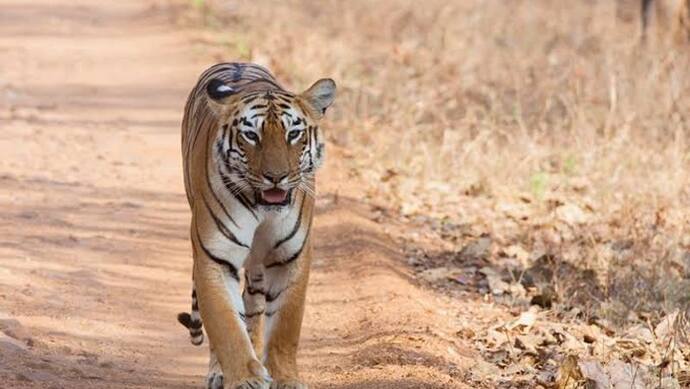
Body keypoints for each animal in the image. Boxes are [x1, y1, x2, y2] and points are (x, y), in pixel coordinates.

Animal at [176, 62, 334, 386]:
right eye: (251, 135)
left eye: (294, 133)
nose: (276, 176)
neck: (265, 209)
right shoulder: (214, 258)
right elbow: (225, 326)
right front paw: (243, 379)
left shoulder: (291, 257)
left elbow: (286, 325)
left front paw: (285, 379)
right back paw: (220, 373)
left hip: (260, 267)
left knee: (254, 305)